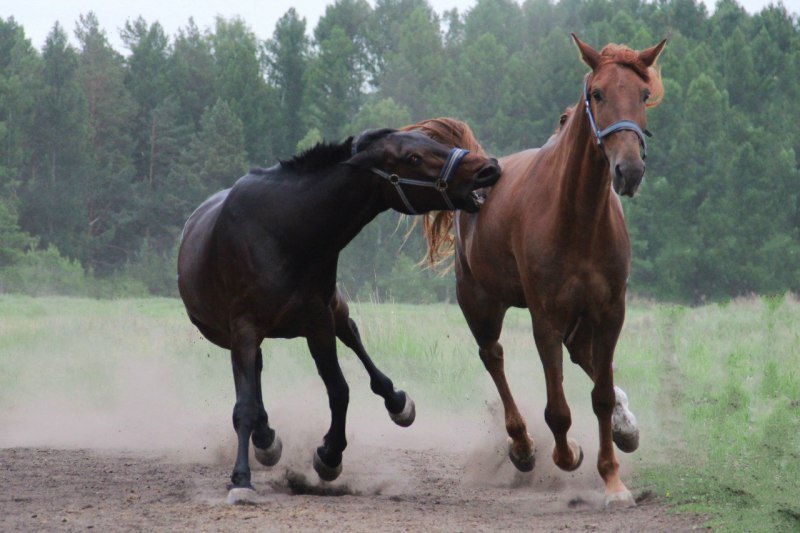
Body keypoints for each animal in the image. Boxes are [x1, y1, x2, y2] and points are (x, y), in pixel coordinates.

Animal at [180, 129, 500, 502]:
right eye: (413, 158)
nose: (487, 169)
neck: (284, 231)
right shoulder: (244, 329)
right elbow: (245, 406)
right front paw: (242, 478)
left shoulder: (318, 321)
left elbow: (339, 389)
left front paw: (329, 457)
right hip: (238, 337)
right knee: (255, 374)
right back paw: (265, 439)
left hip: (336, 309)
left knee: (354, 339)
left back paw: (396, 403)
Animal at [416, 35, 664, 510]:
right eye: (597, 93)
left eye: (644, 95)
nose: (629, 170)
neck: (579, 218)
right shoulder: (545, 316)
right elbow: (558, 411)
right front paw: (569, 455)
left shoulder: (610, 311)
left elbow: (601, 394)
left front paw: (613, 479)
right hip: (479, 302)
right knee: (493, 357)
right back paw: (523, 446)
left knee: (584, 360)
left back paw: (624, 427)